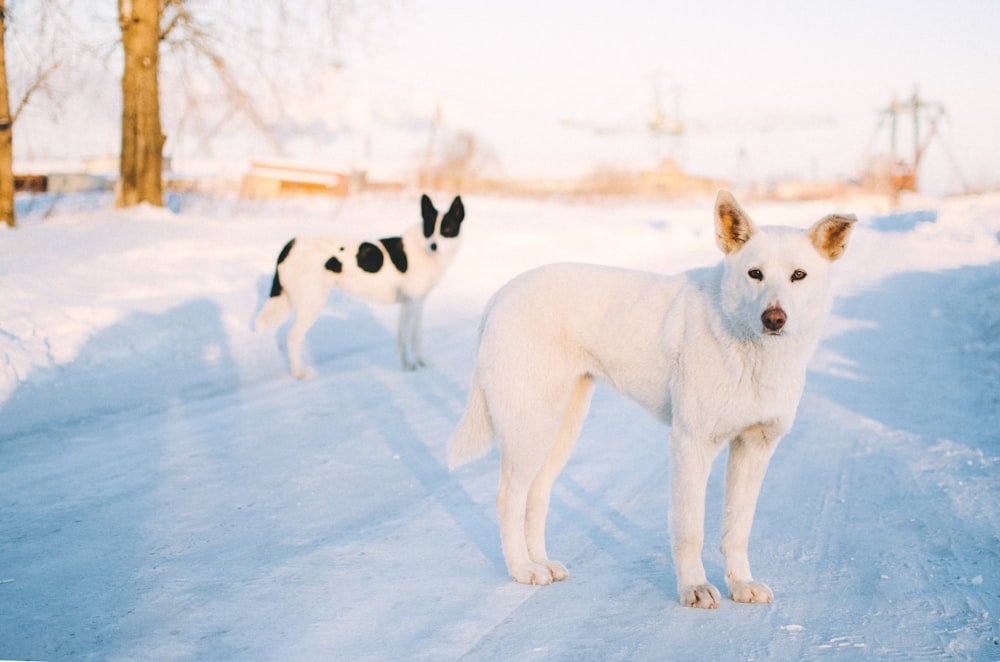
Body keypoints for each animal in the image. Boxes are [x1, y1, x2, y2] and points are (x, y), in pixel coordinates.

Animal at [254, 195, 464, 378]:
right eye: (430, 229)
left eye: (447, 229)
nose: (433, 246)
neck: (423, 248)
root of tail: (291, 243)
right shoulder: (410, 304)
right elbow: (404, 339)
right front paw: (408, 366)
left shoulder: (416, 304)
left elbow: (415, 337)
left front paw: (421, 362)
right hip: (312, 303)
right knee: (293, 337)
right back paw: (299, 373)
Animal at [450, 189, 856, 608]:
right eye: (754, 273)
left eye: (798, 276)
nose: (774, 318)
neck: (748, 348)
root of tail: (501, 294)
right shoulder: (691, 444)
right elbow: (690, 529)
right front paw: (695, 588)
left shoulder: (754, 447)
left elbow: (738, 530)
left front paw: (742, 585)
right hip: (530, 427)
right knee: (508, 498)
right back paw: (522, 570)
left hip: (561, 428)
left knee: (537, 494)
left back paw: (542, 562)